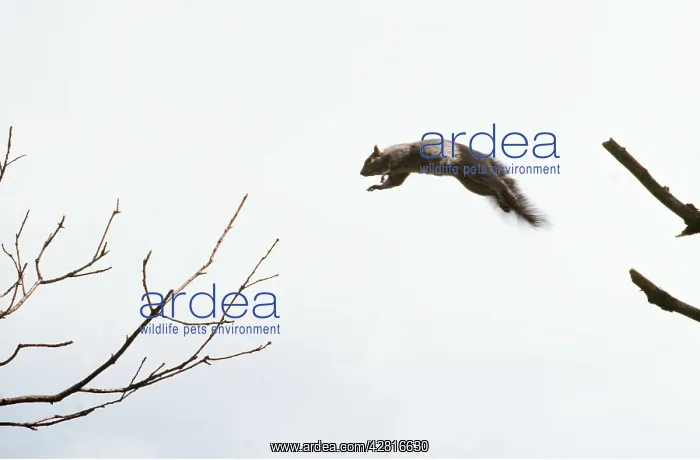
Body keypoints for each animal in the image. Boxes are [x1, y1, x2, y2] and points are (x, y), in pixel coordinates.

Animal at [360, 139, 549, 228]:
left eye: (369, 160)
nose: (361, 173)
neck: (388, 154)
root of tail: (481, 156)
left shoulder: (400, 156)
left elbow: (393, 169)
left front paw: (383, 174)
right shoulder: (401, 172)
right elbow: (395, 182)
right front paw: (378, 186)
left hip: (475, 168)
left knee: (498, 183)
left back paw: (508, 197)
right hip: (471, 183)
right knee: (491, 190)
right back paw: (504, 203)